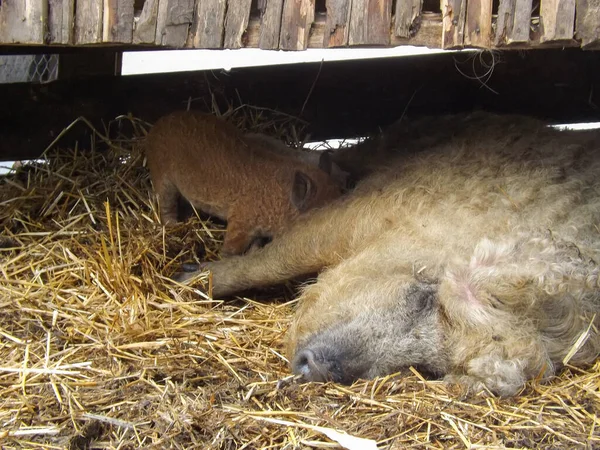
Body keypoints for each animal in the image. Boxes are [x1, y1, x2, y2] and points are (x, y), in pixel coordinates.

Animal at [145, 110, 342, 255]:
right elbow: (230, 250)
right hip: (162, 177)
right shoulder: (240, 220)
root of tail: (157, 125)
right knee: (165, 205)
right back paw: (174, 226)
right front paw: (226, 256)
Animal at [178, 111, 600, 394]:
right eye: (425, 298)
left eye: (427, 369)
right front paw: (187, 278)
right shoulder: (363, 210)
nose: (317, 368)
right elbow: (276, 259)